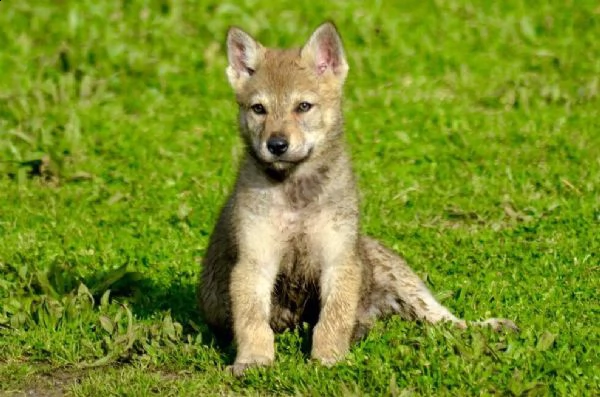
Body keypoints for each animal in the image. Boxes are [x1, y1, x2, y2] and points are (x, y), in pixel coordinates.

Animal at [199, 20, 516, 374]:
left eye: (303, 106)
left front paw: (328, 358)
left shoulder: (338, 259)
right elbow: (252, 320)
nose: (277, 144)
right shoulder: (255, 261)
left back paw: (490, 326)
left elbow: (333, 318)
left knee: (447, 320)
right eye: (258, 109)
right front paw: (254, 360)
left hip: (402, 281)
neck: (297, 195)